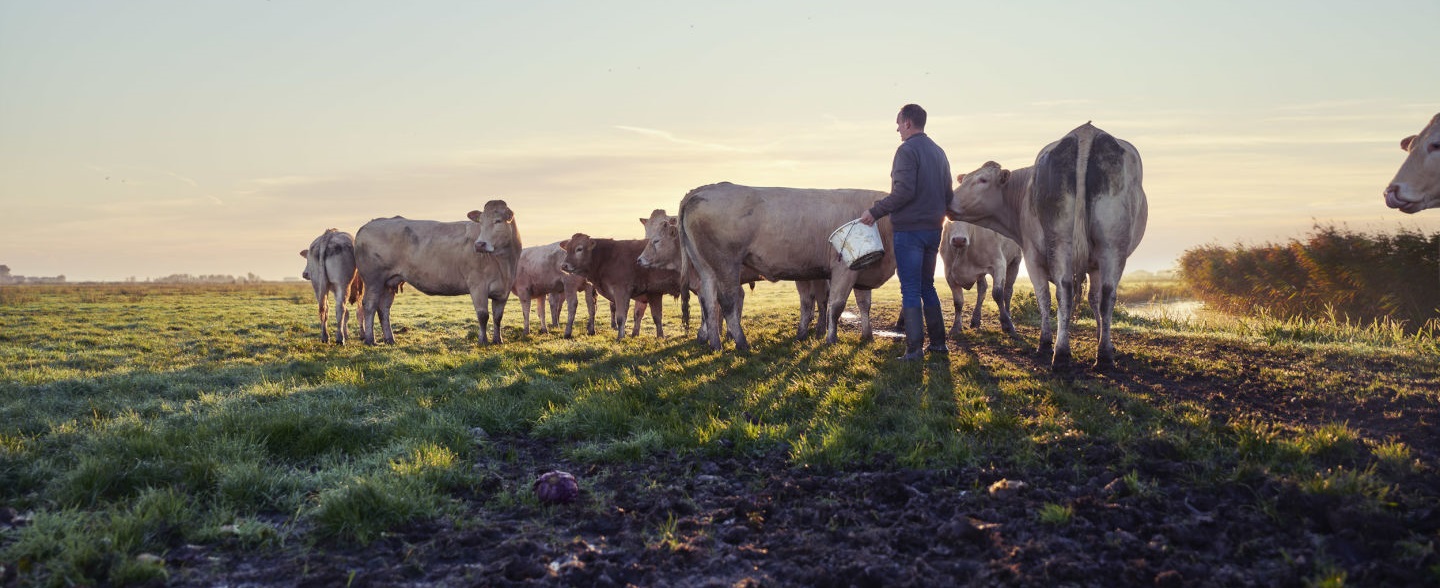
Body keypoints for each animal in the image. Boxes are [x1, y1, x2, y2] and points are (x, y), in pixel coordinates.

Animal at [352, 200, 521, 344]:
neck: (504, 263)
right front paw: (483, 341)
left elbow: (498, 317)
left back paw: (390, 339)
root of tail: (369, 224)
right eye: (480, 222)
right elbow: (483, 315)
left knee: (384, 308)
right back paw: (370, 340)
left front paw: (498, 340)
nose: (479, 244)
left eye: (498, 221)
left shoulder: (504, 289)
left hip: (389, 282)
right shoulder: (478, 285)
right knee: (370, 305)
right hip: (373, 280)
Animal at [950, 123, 1152, 368]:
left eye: (982, 180)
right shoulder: (1095, 265)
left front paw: (1046, 342)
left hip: (1065, 242)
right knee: (1106, 294)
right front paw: (1103, 338)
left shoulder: (1031, 255)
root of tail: (1085, 133)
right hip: (1111, 246)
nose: (948, 199)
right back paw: (1102, 355)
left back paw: (1061, 353)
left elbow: (1044, 297)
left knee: (1064, 291)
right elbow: (1093, 299)